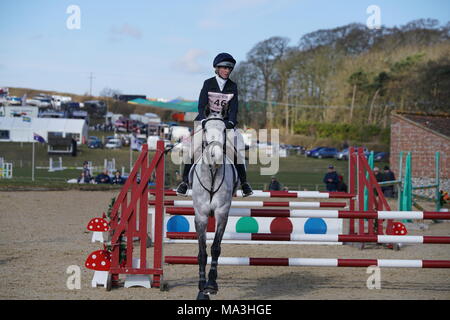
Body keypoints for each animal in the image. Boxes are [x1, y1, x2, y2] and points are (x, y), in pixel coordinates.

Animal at [190, 108, 239, 300]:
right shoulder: (201, 216)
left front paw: (211, 284)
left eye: (224, 130)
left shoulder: (222, 213)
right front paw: (201, 288)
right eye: (205, 129)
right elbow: (202, 252)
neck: (212, 173)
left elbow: (215, 248)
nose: (216, 156)